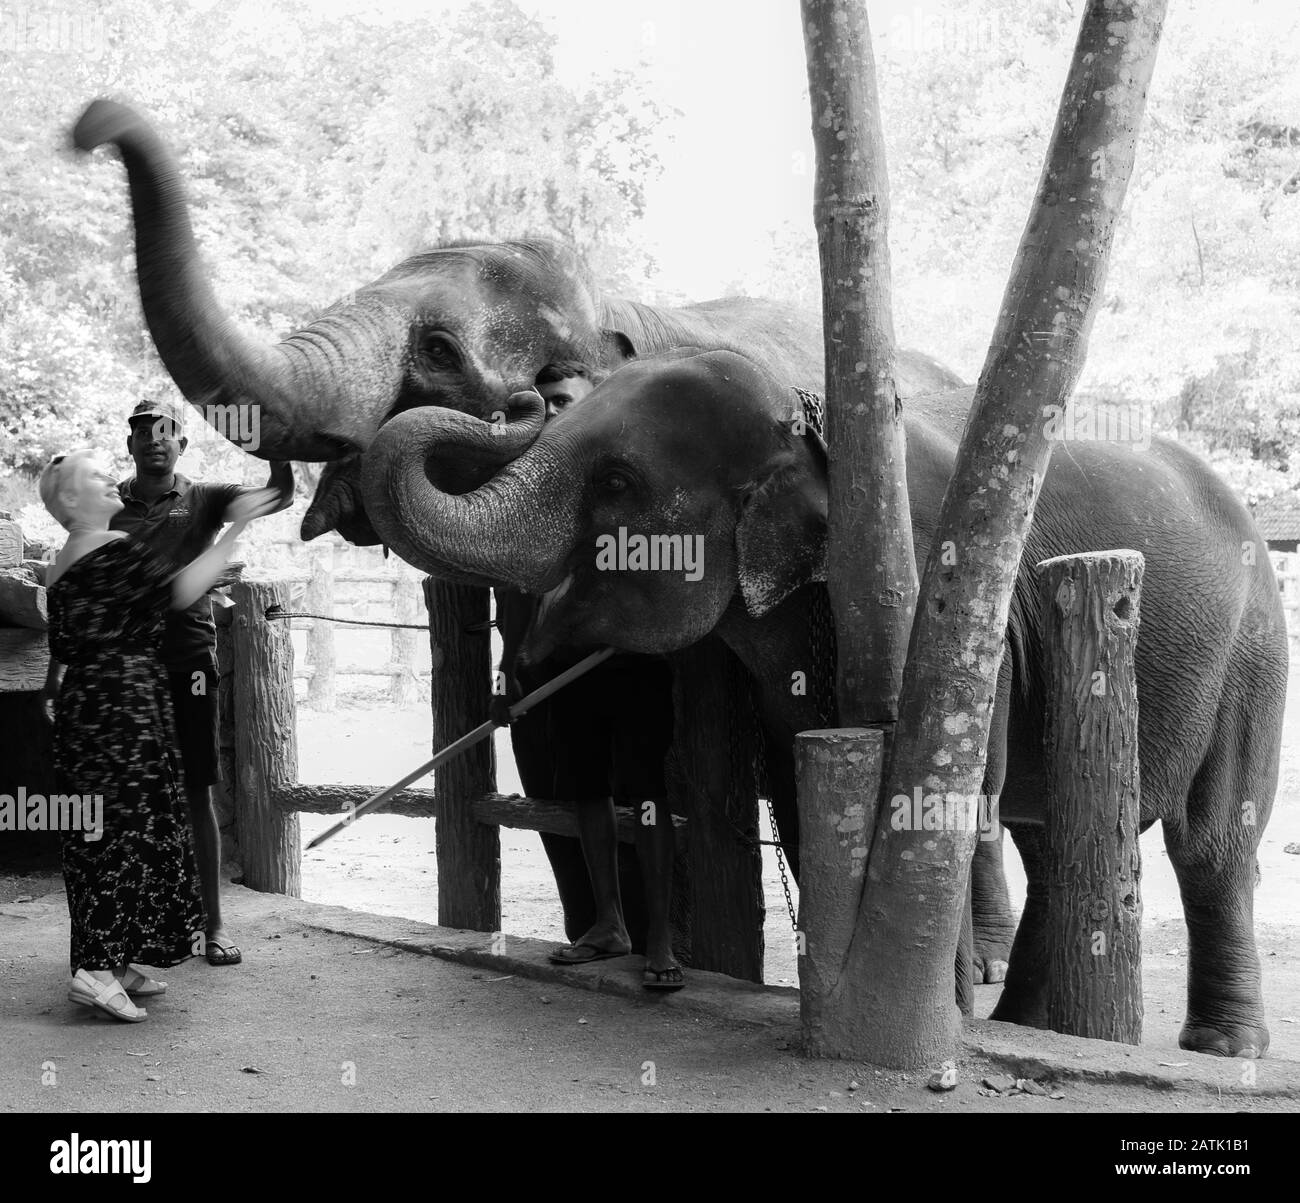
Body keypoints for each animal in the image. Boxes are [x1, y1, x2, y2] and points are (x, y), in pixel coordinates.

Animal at [76, 96, 1040, 978]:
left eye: (438, 347)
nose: (88, 127)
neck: (619, 302)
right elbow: (542, 744)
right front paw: (593, 942)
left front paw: (669, 958)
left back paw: (983, 967)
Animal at [356, 343, 1289, 1056]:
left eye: (617, 481)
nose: (519, 396)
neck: (812, 421)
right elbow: (803, 790)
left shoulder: (950, 604)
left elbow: (951, 792)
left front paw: (935, 1017)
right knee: (1054, 837)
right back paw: (1029, 1023)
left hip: (1255, 653)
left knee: (1211, 842)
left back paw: (1219, 1045)